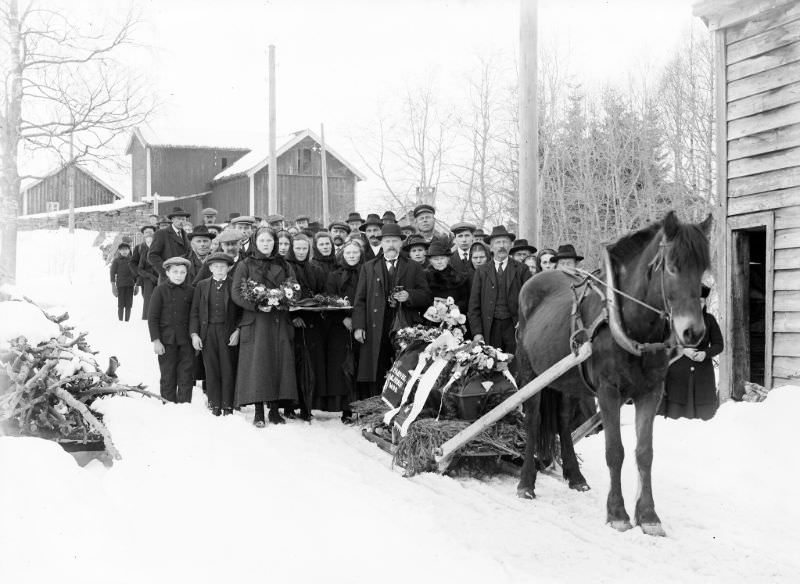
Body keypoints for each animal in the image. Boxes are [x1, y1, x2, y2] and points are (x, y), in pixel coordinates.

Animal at [520, 212, 712, 536]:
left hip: (568, 381)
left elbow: (644, 452)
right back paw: (525, 483)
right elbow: (615, 451)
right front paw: (617, 513)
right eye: (672, 266)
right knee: (533, 420)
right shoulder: (608, 391)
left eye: (703, 268)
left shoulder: (651, 392)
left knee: (562, 420)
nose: (693, 332)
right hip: (530, 373)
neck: (633, 325)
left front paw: (648, 516)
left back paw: (575, 476)